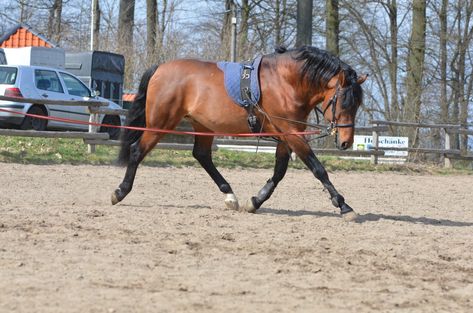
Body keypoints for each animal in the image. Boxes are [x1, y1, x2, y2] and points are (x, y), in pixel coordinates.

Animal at [110, 45, 366, 222]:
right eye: (344, 102)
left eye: (357, 104)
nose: (346, 142)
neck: (287, 82)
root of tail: (160, 68)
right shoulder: (291, 133)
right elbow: (318, 169)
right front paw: (344, 206)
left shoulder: (287, 135)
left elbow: (279, 171)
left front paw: (256, 201)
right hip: (160, 123)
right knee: (137, 150)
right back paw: (120, 191)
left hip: (202, 126)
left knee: (202, 156)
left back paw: (230, 196)